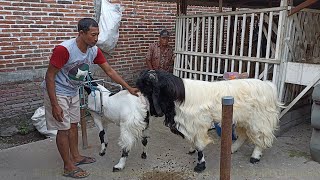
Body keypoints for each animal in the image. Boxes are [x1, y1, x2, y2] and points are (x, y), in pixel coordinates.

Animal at [136, 69, 282, 172]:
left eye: (149, 88)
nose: (150, 110)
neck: (180, 96)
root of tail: (269, 86)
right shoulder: (188, 124)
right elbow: (193, 140)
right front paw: (191, 149)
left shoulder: (198, 124)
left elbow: (200, 144)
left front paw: (200, 165)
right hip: (243, 119)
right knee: (243, 135)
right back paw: (232, 149)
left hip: (259, 119)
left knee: (261, 137)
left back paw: (255, 156)